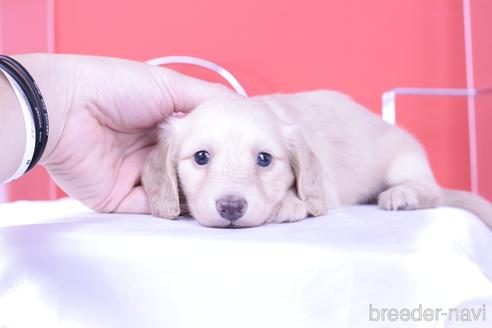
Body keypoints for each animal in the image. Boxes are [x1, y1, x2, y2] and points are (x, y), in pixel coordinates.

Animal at [142, 89, 492, 228]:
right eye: (201, 157)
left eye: (264, 159)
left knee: (432, 192)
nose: (231, 207)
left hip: (403, 159)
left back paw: (404, 194)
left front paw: (286, 203)